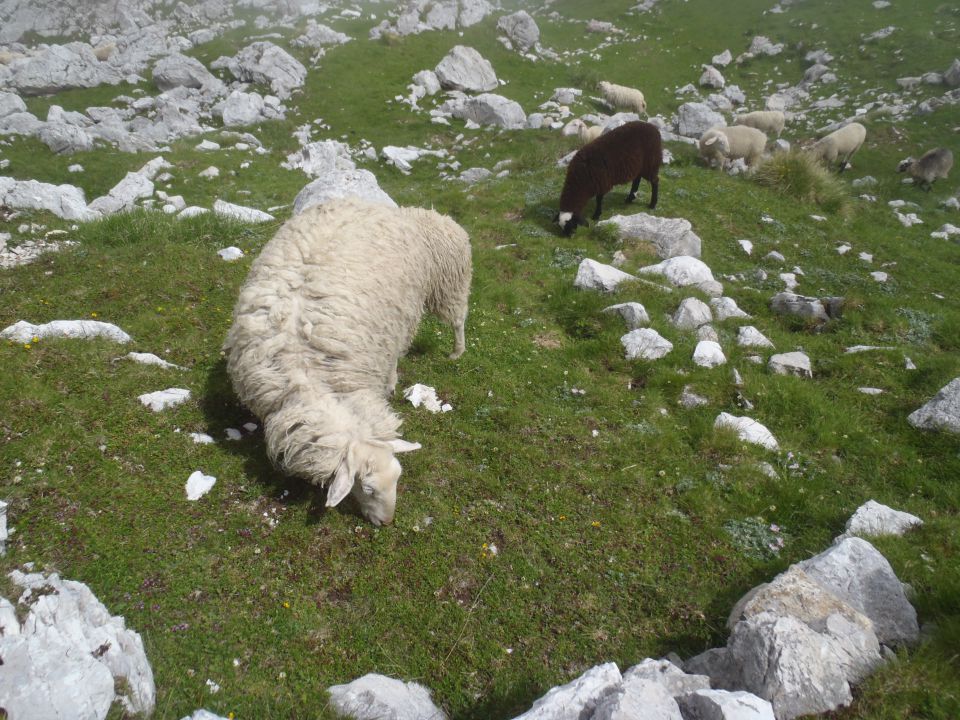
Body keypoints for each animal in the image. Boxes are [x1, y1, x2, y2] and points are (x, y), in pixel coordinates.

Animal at [221, 200, 468, 524]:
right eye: (368, 488)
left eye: (398, 476)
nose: (386, 523)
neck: (309, 377)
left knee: (453, 323)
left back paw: (452, 353)